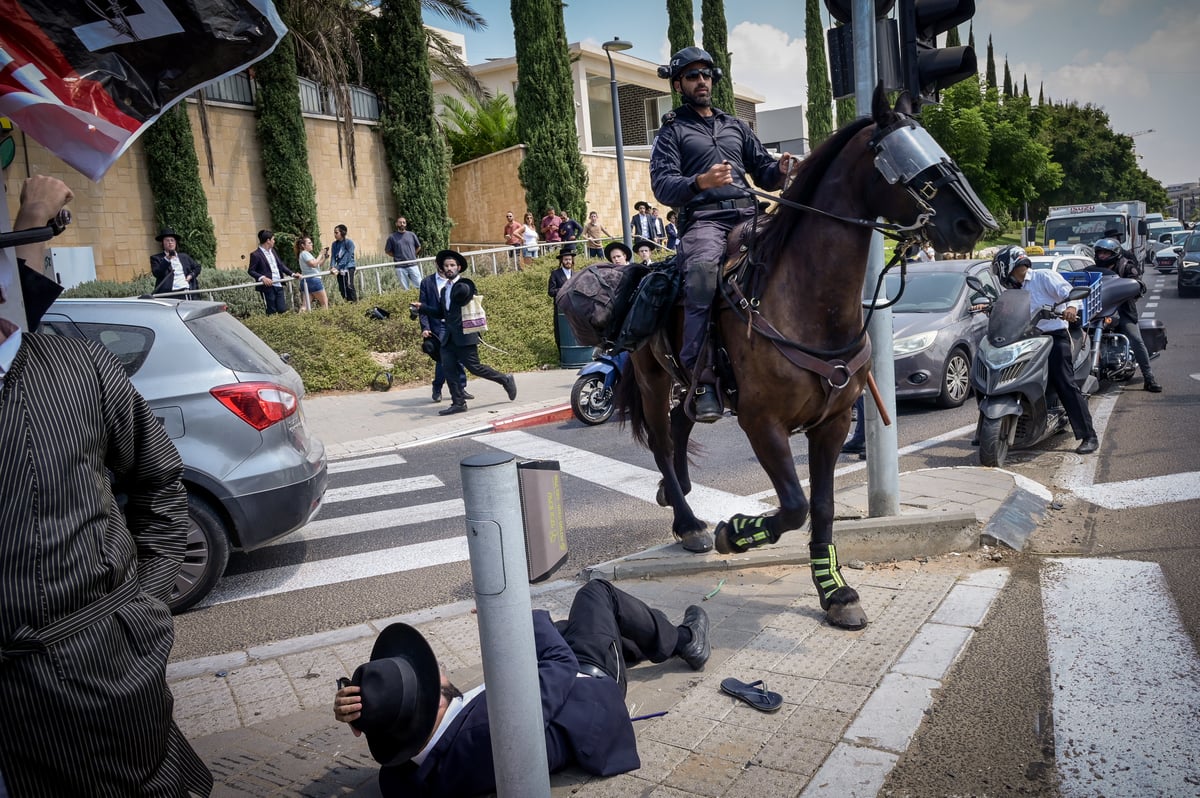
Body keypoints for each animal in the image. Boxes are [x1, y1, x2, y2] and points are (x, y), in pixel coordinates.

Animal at [619, 87, 993, 628]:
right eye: (904, 158)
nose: (975, 223)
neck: (806, 300)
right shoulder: (762, 422)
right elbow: (794, 505)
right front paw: (736, 532)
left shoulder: (832, 422)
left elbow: (822, 507)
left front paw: (835, 591)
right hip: (652, 378)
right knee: (663, 446)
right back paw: (688, 522)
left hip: (688, 381)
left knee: (683, 420)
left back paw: (679, 499)